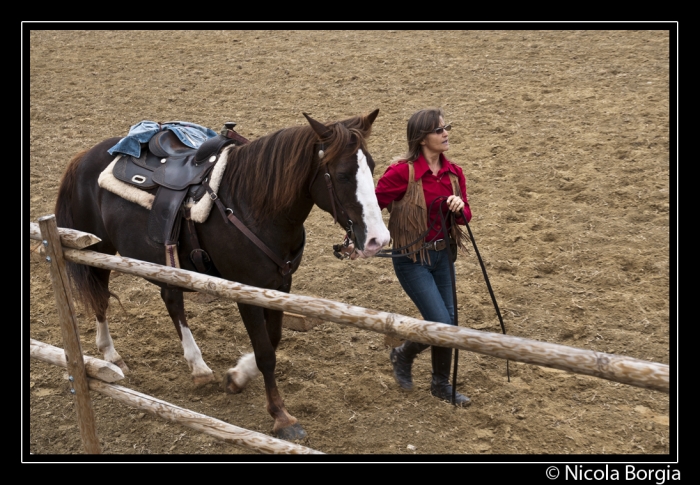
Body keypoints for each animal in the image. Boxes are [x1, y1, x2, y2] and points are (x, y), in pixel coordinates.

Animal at [54, 108, 392, 438]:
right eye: (342, 174)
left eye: (372, 166)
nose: (378, 240)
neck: (255, 207)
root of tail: (83, 157)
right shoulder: (246, 291)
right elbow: (265, 352)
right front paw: (281, 417)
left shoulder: (280, 286)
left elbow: (274, 339)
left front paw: (237, 377)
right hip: (96, 251)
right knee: (100, 299)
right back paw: (111, 356)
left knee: (171, 300)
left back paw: (198, 368)